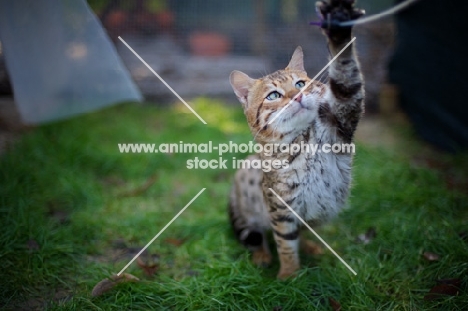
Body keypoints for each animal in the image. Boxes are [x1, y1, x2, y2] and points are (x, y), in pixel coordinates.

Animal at [227, 0, 366, 280]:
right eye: (273, 95)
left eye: (301, 83)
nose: (298, 96)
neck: (302, 140)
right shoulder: (280, 208)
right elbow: (285, 243)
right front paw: (289, 275)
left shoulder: (342, 118)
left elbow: (346, 76)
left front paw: (339, 24)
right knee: (256, 235)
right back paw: (261, 255)